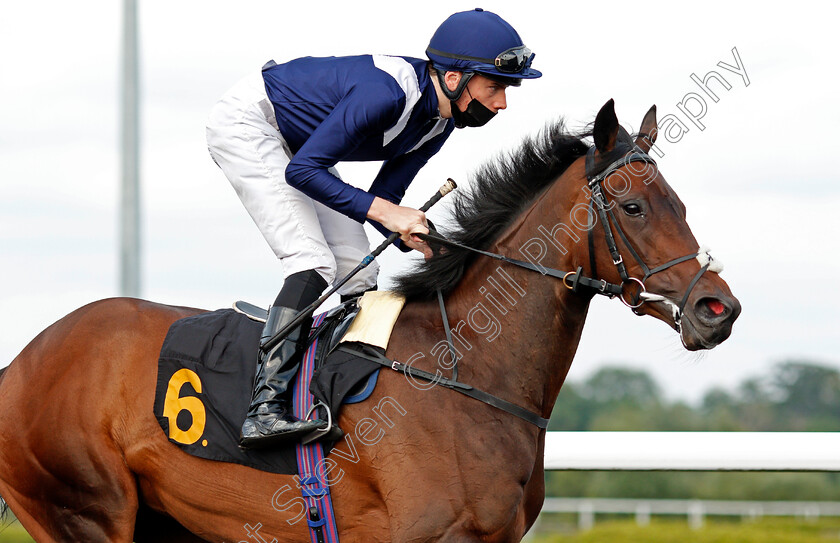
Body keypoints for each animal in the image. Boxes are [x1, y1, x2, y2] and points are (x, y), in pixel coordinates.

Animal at [0, 102, 736, 543]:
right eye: (635, 206)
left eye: (680, 202)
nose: (717, 308)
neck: (464, 371)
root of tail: (21, 362)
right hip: (85, 509)